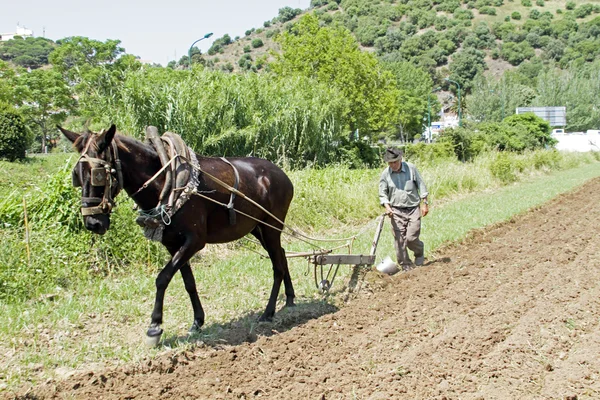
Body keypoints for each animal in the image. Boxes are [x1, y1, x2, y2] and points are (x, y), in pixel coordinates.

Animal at [57, 124, 296, 344]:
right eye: (76, 175)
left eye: (98, 174)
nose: (92, 223)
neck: (166, 182)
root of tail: (281, 174)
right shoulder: (172, 243)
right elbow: (188, 282)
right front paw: (197, 321)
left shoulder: (195, 241)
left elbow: (162, 278)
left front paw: (154, 327)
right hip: (258, 228)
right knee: (282, 255)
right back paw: (290, 299)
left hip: (271, 226)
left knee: (277, 264)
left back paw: (268, 312)